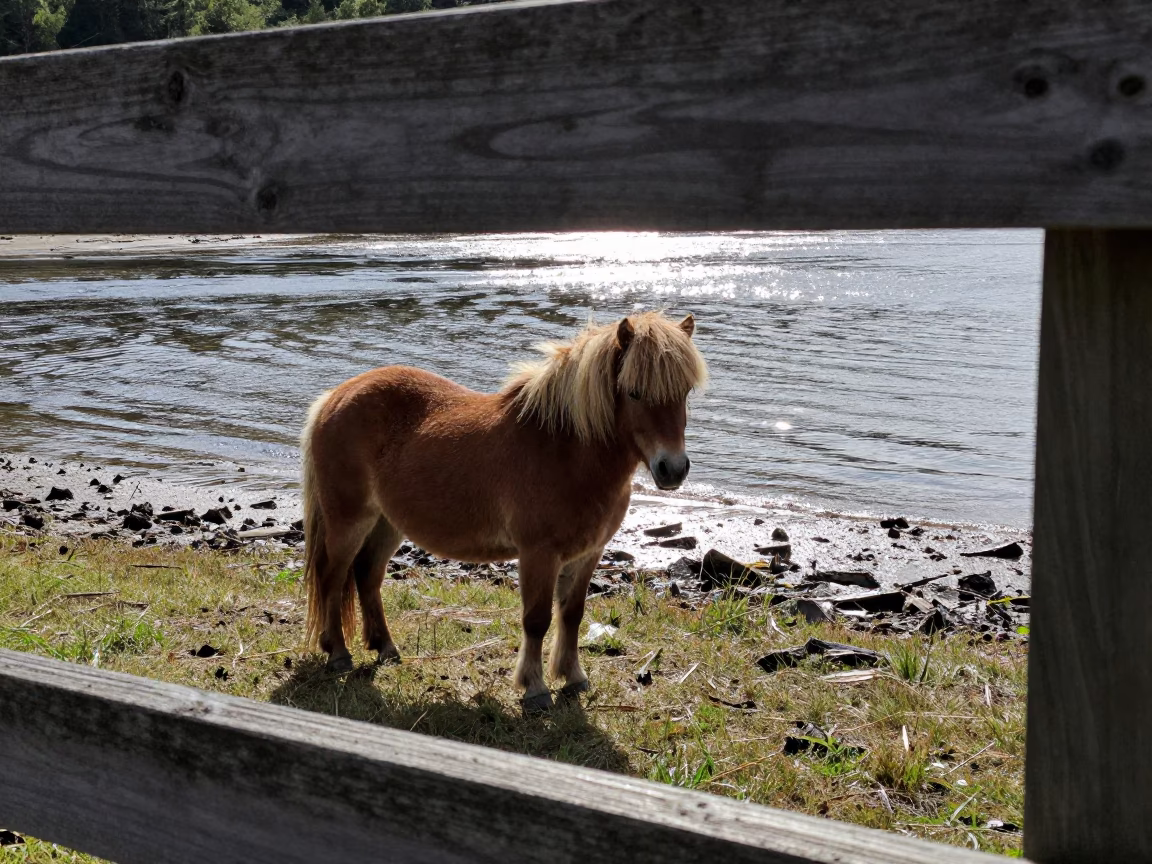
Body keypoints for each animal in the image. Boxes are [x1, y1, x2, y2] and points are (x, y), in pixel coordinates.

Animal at [300, 310, 707, 711]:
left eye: (685, 392)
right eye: (635, 392)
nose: (673, 469)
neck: (564, 451)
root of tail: (335, 397)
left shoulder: (588, 554)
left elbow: (572, 614)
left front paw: (573, 677)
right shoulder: (539, 554)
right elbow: (537, 619)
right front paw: (535, 688)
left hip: (387, 523)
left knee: (367, 575)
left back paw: (386, 648)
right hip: (349, 520)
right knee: (332, 577)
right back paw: (338, 654)